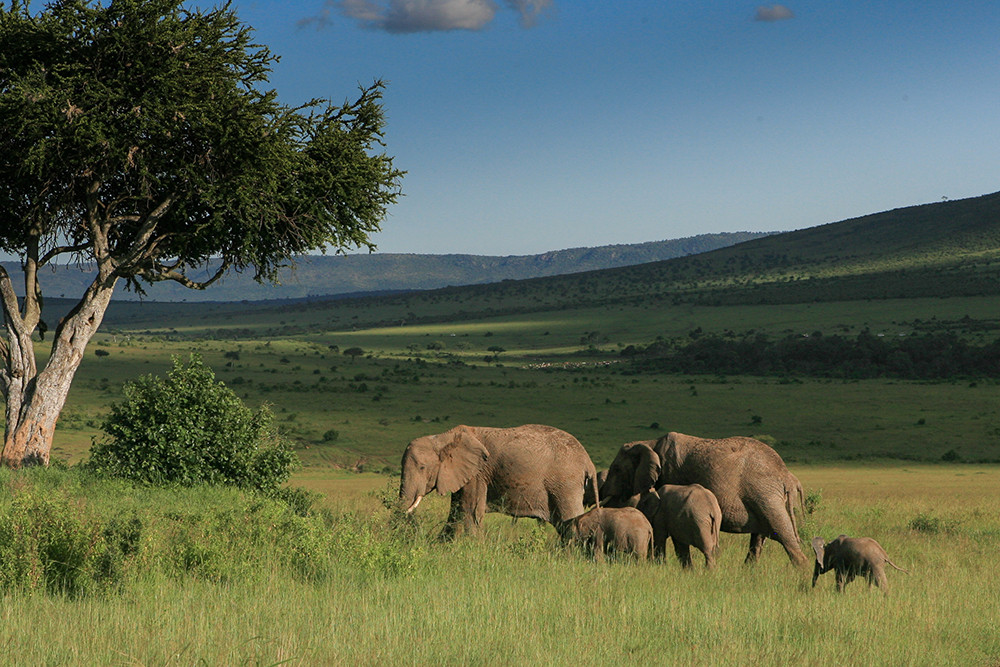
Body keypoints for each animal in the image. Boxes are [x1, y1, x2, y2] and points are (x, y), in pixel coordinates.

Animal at [400, 426, 600, 540]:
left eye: (422, 467)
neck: (443, 437)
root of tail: (588, 460)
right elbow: (456, 512)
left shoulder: (478, 473)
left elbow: (469, 512)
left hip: (565, 484)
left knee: (570, 520)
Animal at [596, 434, 808, 568]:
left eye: (616, 469)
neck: (650, 443)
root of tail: (788, 476)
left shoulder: (671, 473)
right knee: (759, 538)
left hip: (765, 494)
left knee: (783, 533)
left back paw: (803, 573)